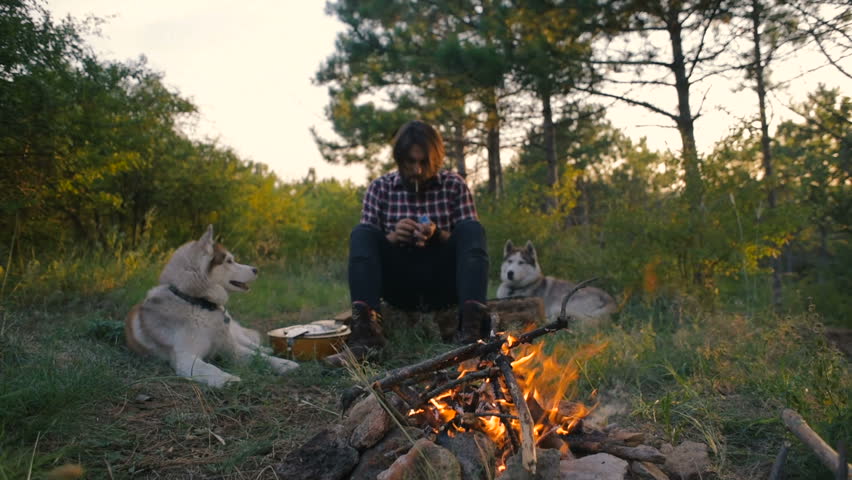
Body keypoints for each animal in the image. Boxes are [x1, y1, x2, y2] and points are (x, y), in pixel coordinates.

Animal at [125, 227, 298, 388]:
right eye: (229, 261)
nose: (256, 269)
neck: (198, 303)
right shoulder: (185, 357)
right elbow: (209, 368)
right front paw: (228, 379)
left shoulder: (231, 348)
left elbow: (258, 356)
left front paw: (283, 364)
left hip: (234, 333)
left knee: (251, 344)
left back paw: (269, 350)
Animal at [492, 242, 620, 328]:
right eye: (510, 261)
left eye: (521, 262)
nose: (510, 273)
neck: (514, 288)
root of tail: (611, 302)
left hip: (560, 305)